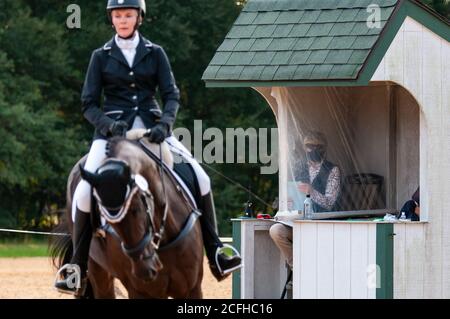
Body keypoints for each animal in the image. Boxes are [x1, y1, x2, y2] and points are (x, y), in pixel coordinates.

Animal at [50, 129, 203, 298]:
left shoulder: (192, 287)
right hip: (97, 271)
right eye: (107, 221)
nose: (144, 269)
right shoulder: (141, 291)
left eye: (137, 209)